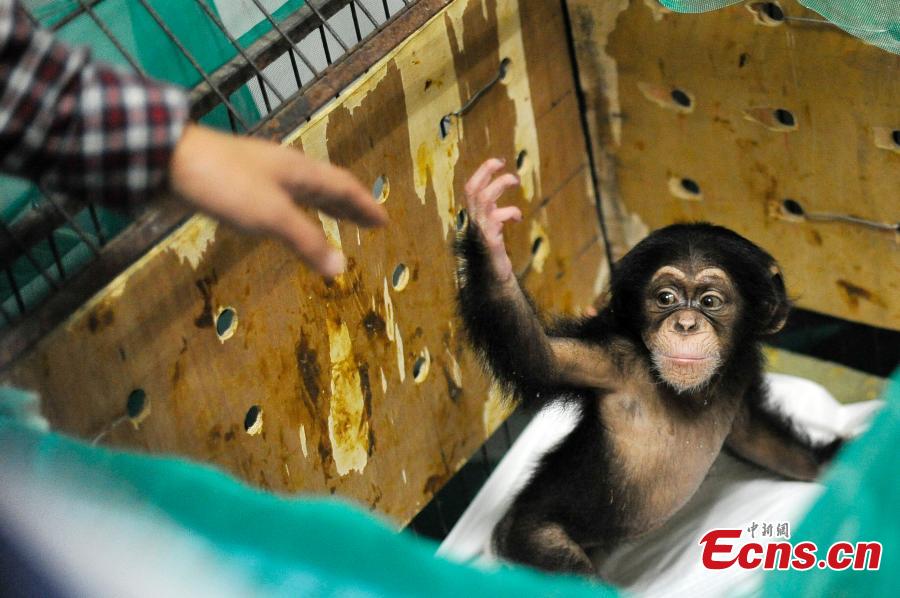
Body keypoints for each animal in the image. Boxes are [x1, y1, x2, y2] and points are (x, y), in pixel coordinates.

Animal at [454, 158, 843, 577]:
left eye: (710, 301)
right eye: (666, 298)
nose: (685, 324)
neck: (682, 392)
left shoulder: (738, 380)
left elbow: (764, 441)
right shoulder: (612, 361)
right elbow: (540, 358)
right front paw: (488, 236)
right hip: (530, 535)